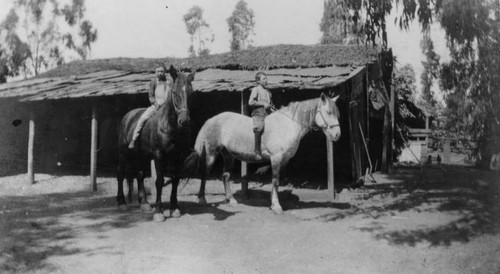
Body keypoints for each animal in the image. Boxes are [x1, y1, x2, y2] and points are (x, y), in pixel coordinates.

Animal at [116, 66, 195, 223]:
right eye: (174, 92)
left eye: (191, 92)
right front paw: (159, 212)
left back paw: (145, 204)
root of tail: (128, 116)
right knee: (120, 173)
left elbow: (175, 179)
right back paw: (122, 202)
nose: (184, 121)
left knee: (139, 175)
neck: (170, 127)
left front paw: (174, 208)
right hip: (123, 153)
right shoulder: (159, 155)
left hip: (140, 155)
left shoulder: (178, 157)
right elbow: (159, 181)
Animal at [193, 93, 342, 213]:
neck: (287, 125)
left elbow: (276, 181)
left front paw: (272, 201)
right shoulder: (276, 158)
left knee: (226, 176)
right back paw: (202, 199)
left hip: (228, 155)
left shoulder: (283, 160)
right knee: (204, 174)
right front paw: (276, 206)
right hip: (211, 154)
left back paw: (231, 200)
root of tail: (211, 119)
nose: (337, 135)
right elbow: (275, 181)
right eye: (329, 112)